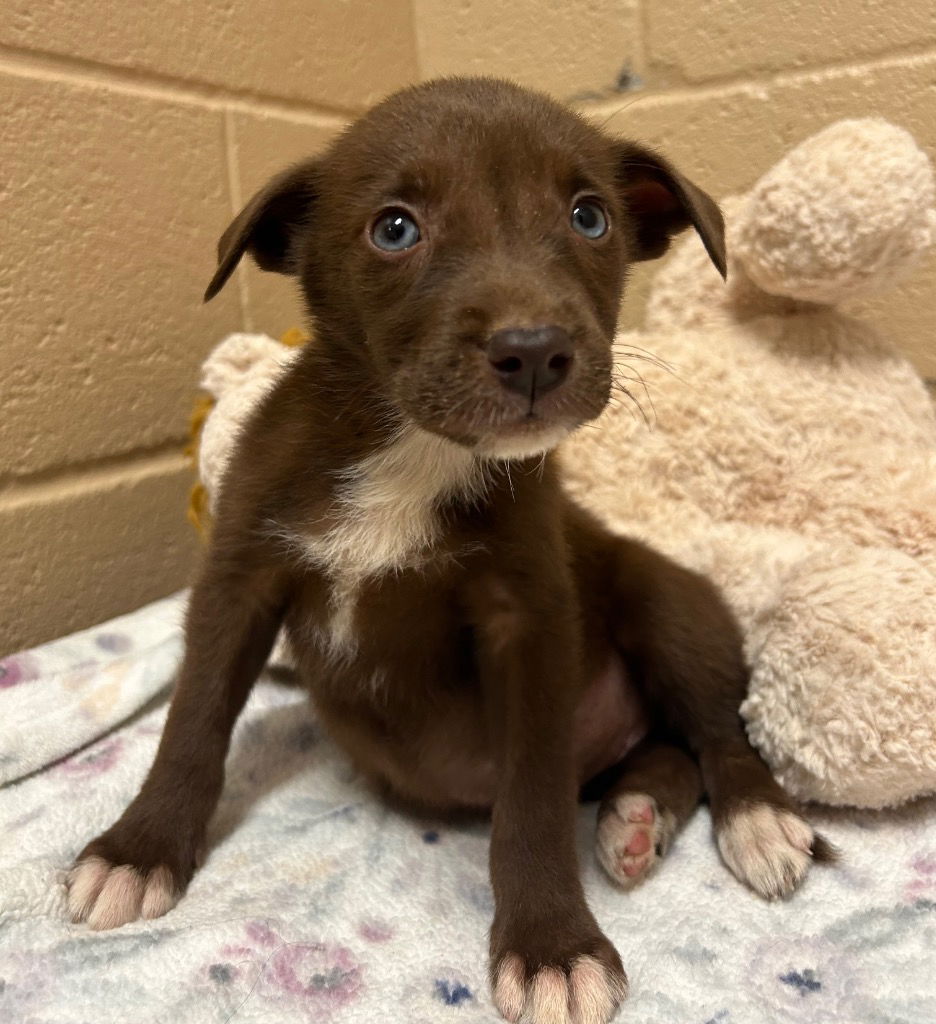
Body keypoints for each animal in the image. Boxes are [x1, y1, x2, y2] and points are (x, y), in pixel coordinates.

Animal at [67, 75, 831, 1019]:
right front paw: (138, 851)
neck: (411, 451)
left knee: (719, 735)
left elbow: (531, 799)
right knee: (666, 749)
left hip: (668, 602)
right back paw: (635, 817)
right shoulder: (239, 578)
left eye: (589, 217)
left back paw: (754, 823)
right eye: (394, 228)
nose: (535, 351)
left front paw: (551, 946)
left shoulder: (528, 622)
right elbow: (193, 718)